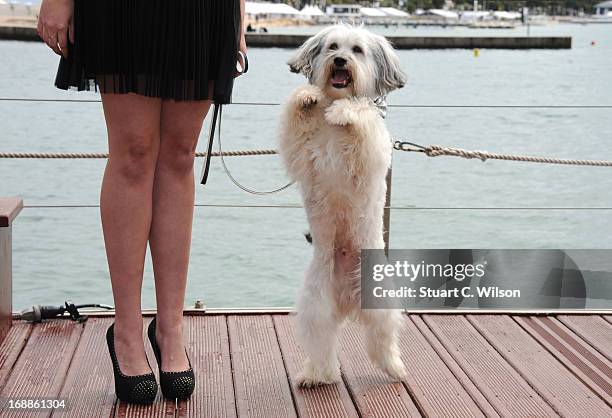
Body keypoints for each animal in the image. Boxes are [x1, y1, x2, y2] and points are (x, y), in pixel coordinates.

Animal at [280, 24, 408, 386]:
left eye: (357, 50)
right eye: (333, 46)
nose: (339, 61)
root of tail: (348, 300)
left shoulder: (369, 155)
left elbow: (360, 112)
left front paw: (345, 113)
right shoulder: (302, 154)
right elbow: (295, 121)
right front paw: (307, 97)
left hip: (380, 299)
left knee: (383, 336)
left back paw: (393, 367)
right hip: (315, 305)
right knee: (322, 341)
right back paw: (316, 374)